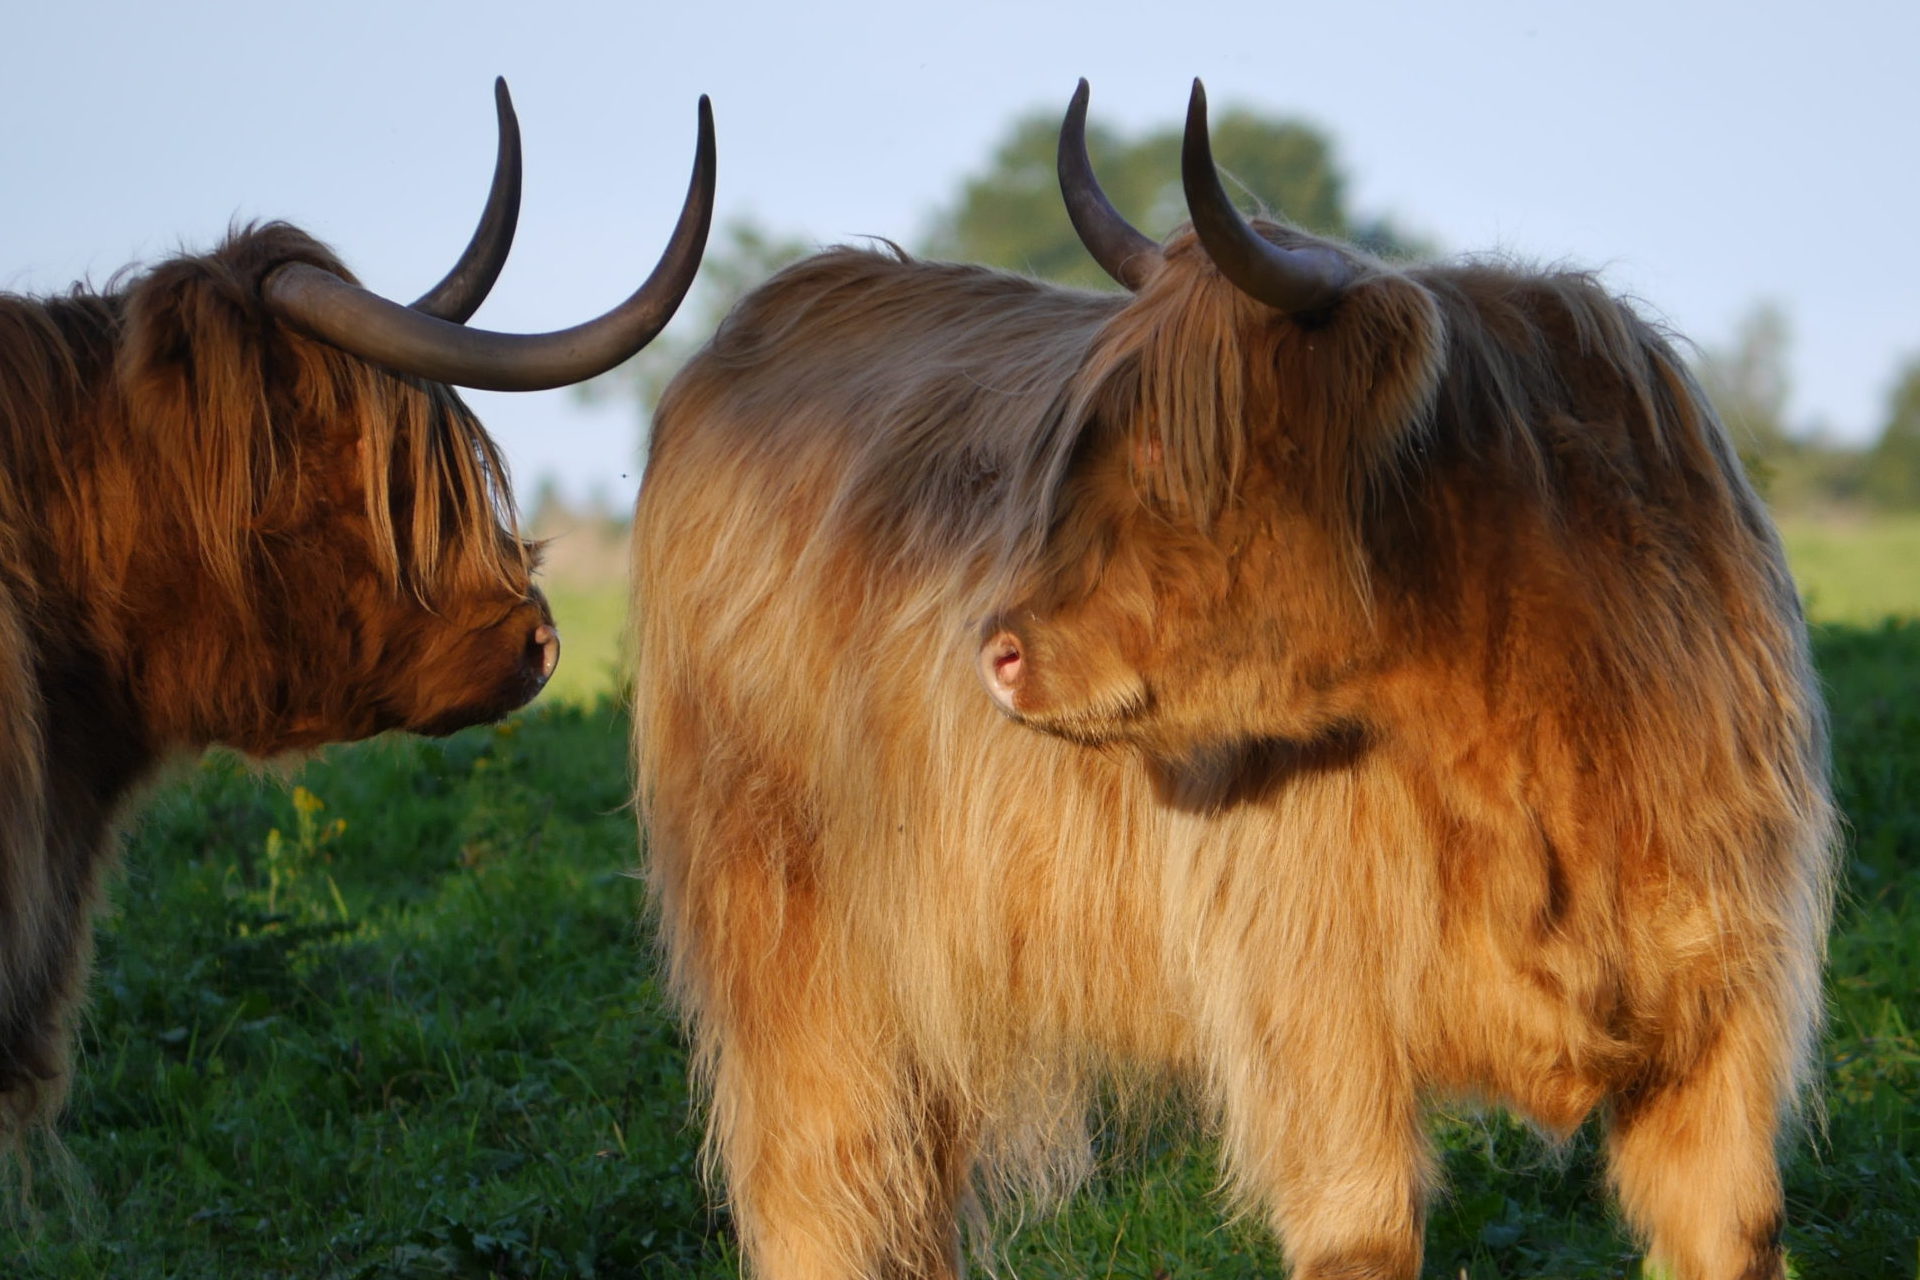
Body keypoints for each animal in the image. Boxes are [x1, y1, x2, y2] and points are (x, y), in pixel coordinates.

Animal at [637, 82, 1835, 1280]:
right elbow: (1362, 1235)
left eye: (1170, 446)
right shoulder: (1318, 1013)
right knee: (820, 1178)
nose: (997, 651)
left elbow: (1735, 1226)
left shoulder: (1724, 1003)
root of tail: (788, 302)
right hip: (791, 946)